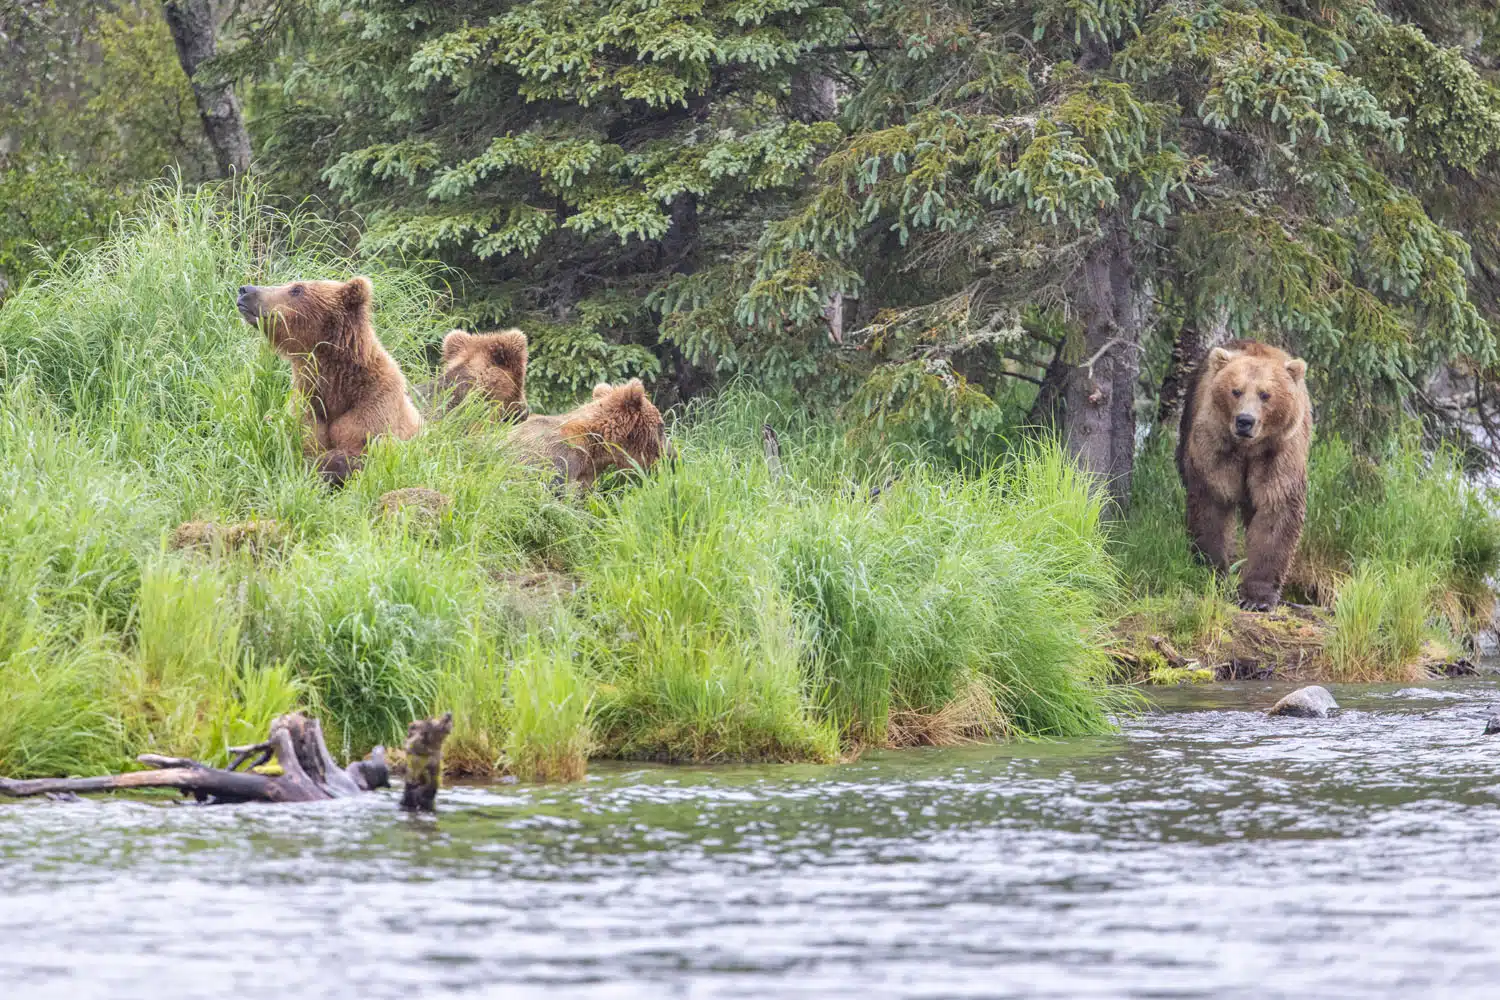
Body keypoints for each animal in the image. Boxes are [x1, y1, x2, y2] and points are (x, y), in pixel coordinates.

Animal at [234, 275, 423, 485]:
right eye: (291, 285)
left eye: (297, 289)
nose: (245, 290)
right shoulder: (308, 404)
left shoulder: (374, 407)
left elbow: (362, 449)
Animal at [1176, 340, 1308, 614]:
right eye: (1235, 391)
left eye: (1265, 394)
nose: (1245, 420)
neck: (1249, 449)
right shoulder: (1215, 446)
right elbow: (1212, 505)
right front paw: (1214, 571)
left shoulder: (1279, 453)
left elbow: (1277, 511)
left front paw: (1257, 597)